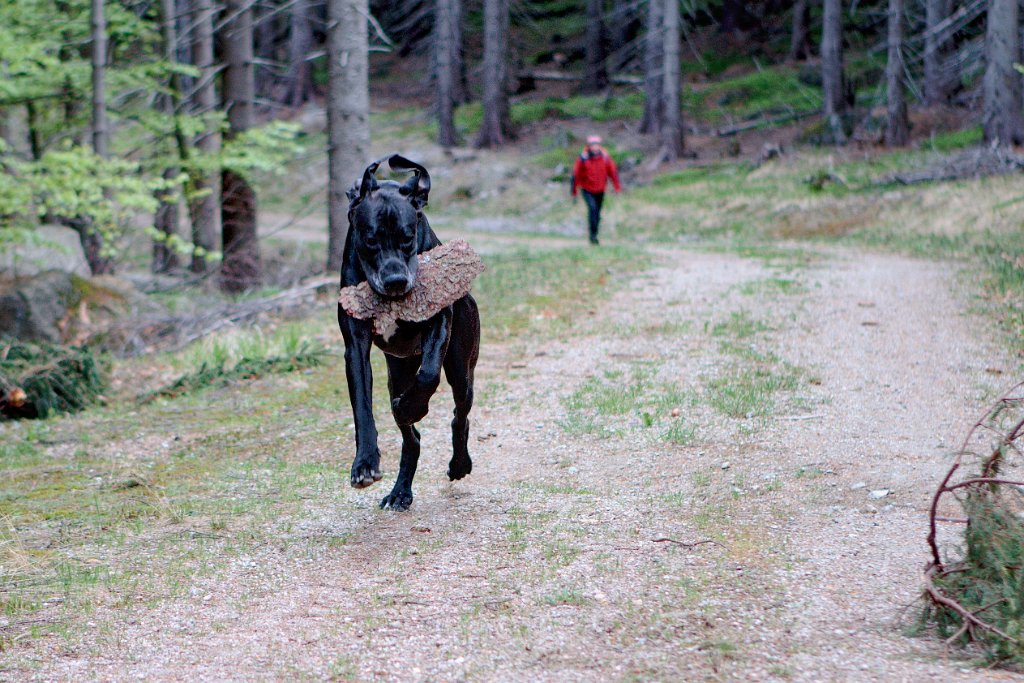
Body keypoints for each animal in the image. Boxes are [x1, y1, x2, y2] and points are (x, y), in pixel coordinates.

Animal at [335, 153, 479, 507]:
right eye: (370, 240)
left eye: (408, 236)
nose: (396, 281)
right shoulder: (355, 346)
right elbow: (362, 406)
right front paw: (364, 464)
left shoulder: (439, 321)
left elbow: (428, 375)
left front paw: (416, 404)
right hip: (397, 374)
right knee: (411, 438)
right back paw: (400, 492)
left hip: (462, 368)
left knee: (460, 415)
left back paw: (459, 463)